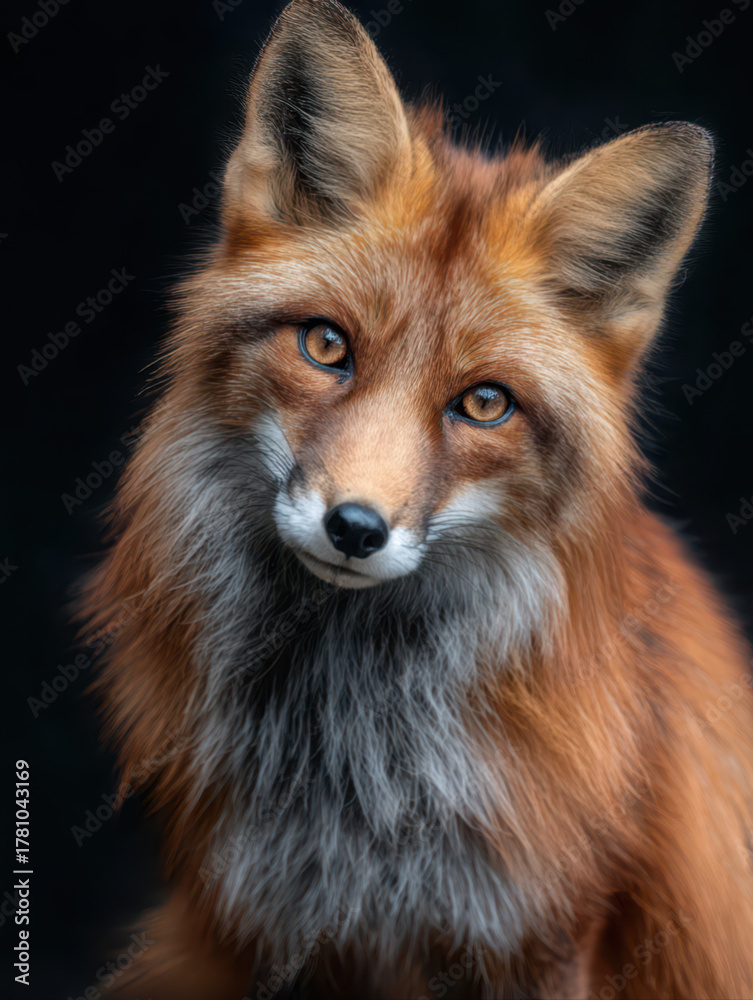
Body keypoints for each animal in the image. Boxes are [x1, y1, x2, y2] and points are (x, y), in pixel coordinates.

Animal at [80, 1, 753, 997]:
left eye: (483, 404)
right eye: (326, 346)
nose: (354, 528)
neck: (347, 760)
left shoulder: (543, 934)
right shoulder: (262, 924)